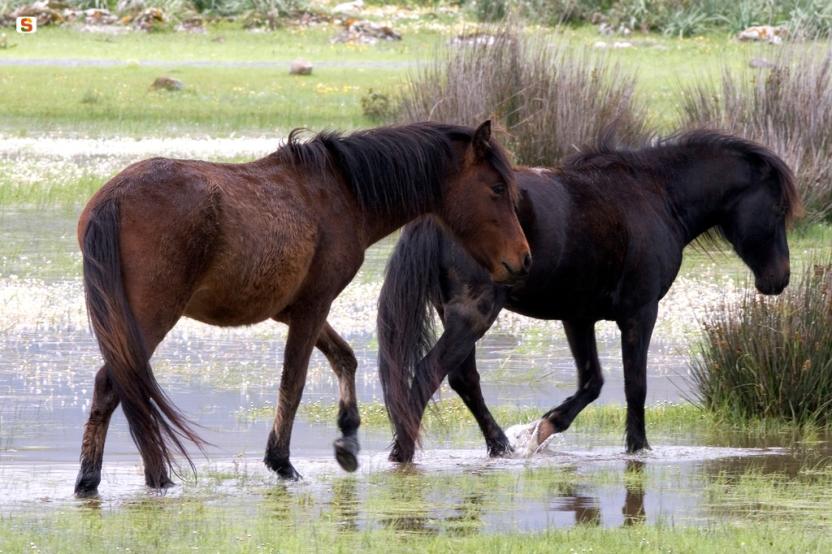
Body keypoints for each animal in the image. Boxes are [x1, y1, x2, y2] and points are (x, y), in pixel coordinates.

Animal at [76, 119, 532, 492]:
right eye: (497, 189)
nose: (523, 260)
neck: (342, 191)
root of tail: (113, 199)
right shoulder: (314, 305)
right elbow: (293, 383)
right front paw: (282, 462)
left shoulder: (296, 309)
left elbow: (344, 359)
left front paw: (346, 438)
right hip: (150, 319)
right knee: (117, 385)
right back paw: (144, 478)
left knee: (119, 389)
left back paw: (99, 480)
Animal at [380, 130, 804, 462]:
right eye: (778, 208)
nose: (779, 278)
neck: (656, 195)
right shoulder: (640, 313)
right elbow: (635, 386)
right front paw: (638, 449)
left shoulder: (578, 317)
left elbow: (593, 383)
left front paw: (545, 428)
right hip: (474, 314)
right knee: (427, 376)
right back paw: (404, 455)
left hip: (457, 315)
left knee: (463, 380)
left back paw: (500, 447)